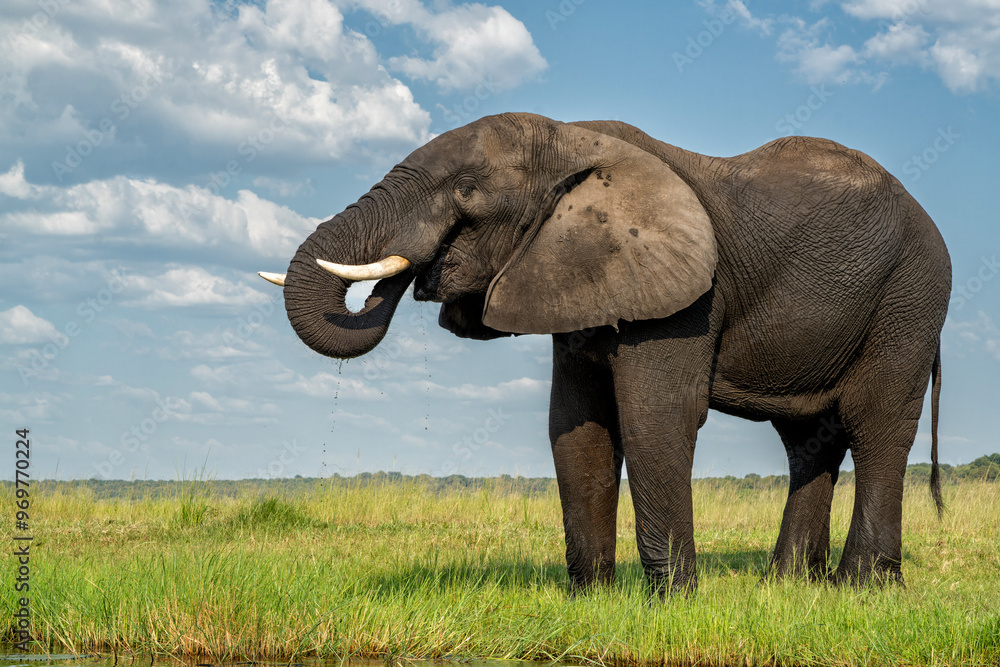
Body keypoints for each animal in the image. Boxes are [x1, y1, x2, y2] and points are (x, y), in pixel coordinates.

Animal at [258, 112, 950, 595]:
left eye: (467, 194)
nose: (415, 275)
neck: (574, 140)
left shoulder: (682, 297)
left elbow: (654, 420)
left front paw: (673, 603)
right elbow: (576, 426)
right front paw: (591, 599)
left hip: (911, 297)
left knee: (876, 425)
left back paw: (863, 589)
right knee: (808, 437)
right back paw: (787, 587)